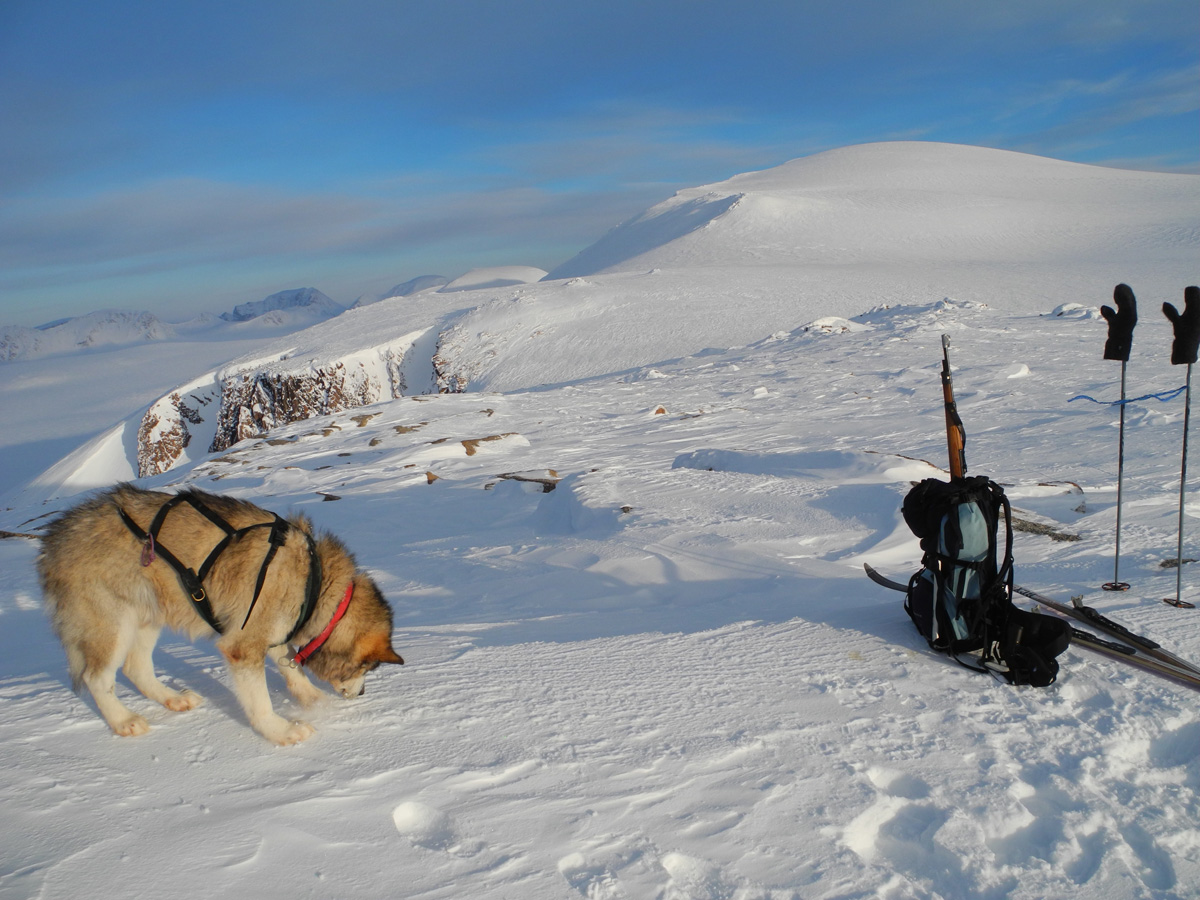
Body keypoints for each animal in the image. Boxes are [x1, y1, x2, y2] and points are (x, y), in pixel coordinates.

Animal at [36, 487, 403, 748]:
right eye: (368, 667)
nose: (362, 694)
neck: (314, 581)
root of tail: (54, 539)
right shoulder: (243, 644)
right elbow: (260, 702)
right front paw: (282, 731)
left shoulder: (271, 627)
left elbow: (290, 666)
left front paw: (314, 700)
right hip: (113, 624)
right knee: (97, 678)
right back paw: (124, 721)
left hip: (150, 614)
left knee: (136, 668)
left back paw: (173, 699)